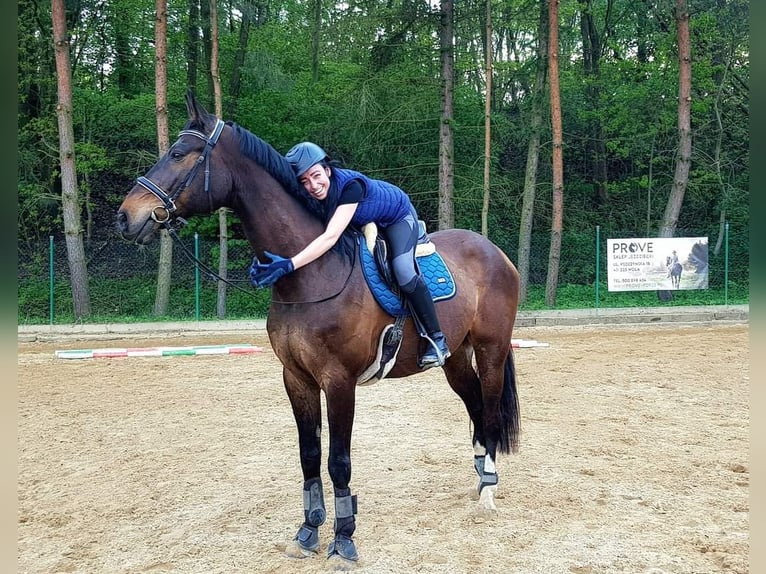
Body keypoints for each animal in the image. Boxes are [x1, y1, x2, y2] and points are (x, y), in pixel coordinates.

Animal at [117, 91, 520, 568]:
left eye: (179, 153)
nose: (125, 217)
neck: (309, 274)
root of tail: (494, 250)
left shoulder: (338, 381)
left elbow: (338, 460)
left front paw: (343, 538)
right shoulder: (296, 379)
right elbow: (309, 456)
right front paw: (308, 530)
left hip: (491, 350)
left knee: (490, 411)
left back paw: (489, 491)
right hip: (455, 357)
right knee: (474, 406)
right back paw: (479, 478)